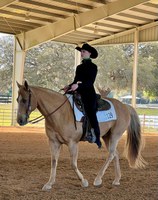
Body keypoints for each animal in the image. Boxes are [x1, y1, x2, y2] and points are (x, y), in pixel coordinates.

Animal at [16, 81, 146, 191]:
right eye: (17, 99)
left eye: (25, 100)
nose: (20, 120)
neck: (61, 112)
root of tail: (125, 106)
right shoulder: (53, 142)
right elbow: (53, 161)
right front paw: (49, 183)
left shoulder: (72, 143)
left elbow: (73, 164)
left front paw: (84, 181)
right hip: (107, 136)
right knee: (115, 154)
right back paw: (117, 179)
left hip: (115, 134)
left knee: (111, 154)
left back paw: (98, 179)